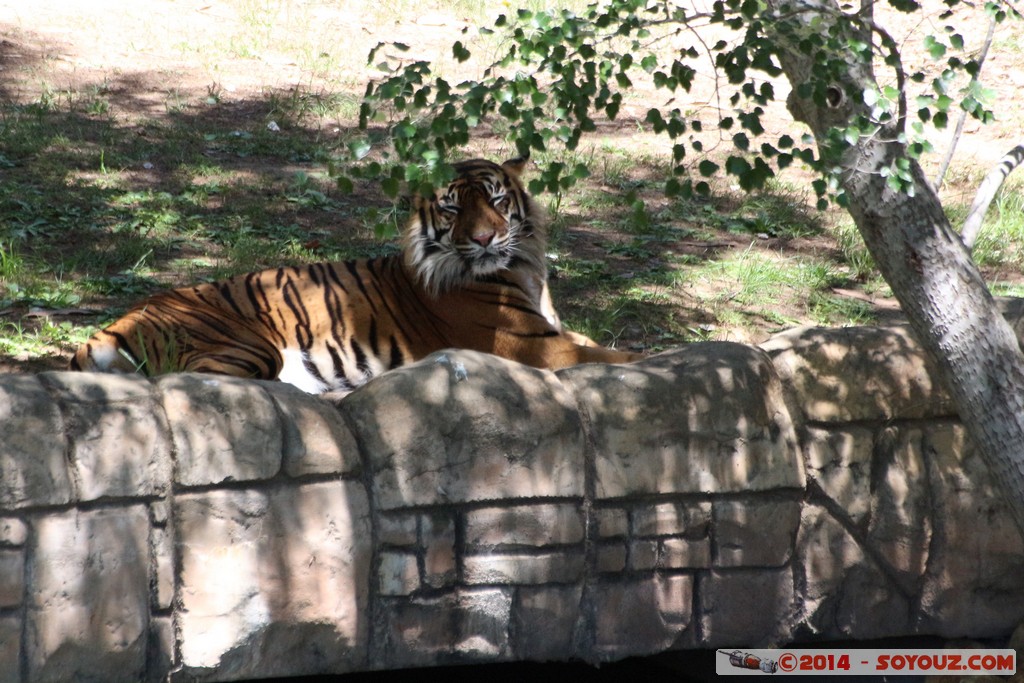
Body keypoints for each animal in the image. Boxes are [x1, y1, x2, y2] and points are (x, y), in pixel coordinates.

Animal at [70, 156, 638, 393]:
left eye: (497, 201)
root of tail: (113, 325)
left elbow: (602, 343)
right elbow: (616, 355)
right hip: (243, 346)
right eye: (453, 209)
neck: (524, 269)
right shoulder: (534, 345)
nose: (483, 240)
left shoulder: (556, 330)